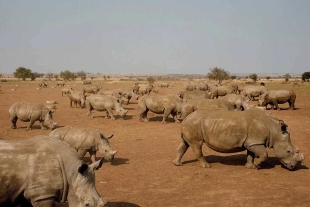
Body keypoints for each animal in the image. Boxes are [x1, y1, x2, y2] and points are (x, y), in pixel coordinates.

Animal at [174, 108, 306, 170]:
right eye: (289, 151)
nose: (293, 168)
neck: (274, 130)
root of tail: (185, 118)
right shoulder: (255, 141)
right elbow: (264, 154)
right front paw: (257, 165)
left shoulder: (252, 142)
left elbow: (250, 154)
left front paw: (250, 166)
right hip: (194, 124)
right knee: (197, 145)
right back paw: (207, 166)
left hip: (191, 124)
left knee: (184, 144)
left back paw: (177, 164)